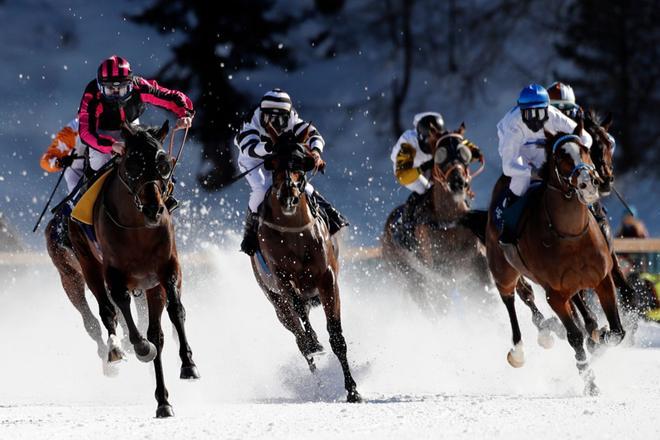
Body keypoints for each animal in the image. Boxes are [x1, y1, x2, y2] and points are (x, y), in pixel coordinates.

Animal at [68, 122, 201, 418]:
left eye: (164, 164)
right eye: (132, 164)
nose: (153, 209)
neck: (138, 228)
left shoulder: (167, 268)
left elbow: (176, 311)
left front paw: (189, 363)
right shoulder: (114, 274)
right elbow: (122, 308)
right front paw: (140, 348)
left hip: (151, 285)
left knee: (157, 334)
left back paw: (163, 401)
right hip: (87, 262)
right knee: (107, 311)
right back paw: (118, 351)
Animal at [249, 126, 360, 402]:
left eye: (301, 160)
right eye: (273, 163)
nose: (288, 194)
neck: (294, 233)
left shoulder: (327, 280)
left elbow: (337, 337)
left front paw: (353, 389)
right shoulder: (282, 279)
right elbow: (300, 315)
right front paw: (314, 342)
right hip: (275, 301)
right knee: (299, 340)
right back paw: (316, 378)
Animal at [484, 121, 624, 396]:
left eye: (584, 149)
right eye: (561, 156)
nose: (589, 183)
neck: (571, 235)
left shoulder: (602, 280)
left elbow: (616, 331)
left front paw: (600, 335)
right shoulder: (554, 295)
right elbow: (574, 337)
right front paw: (590, 382)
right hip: (503, 270)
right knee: (512, 298)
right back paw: (521, 349)